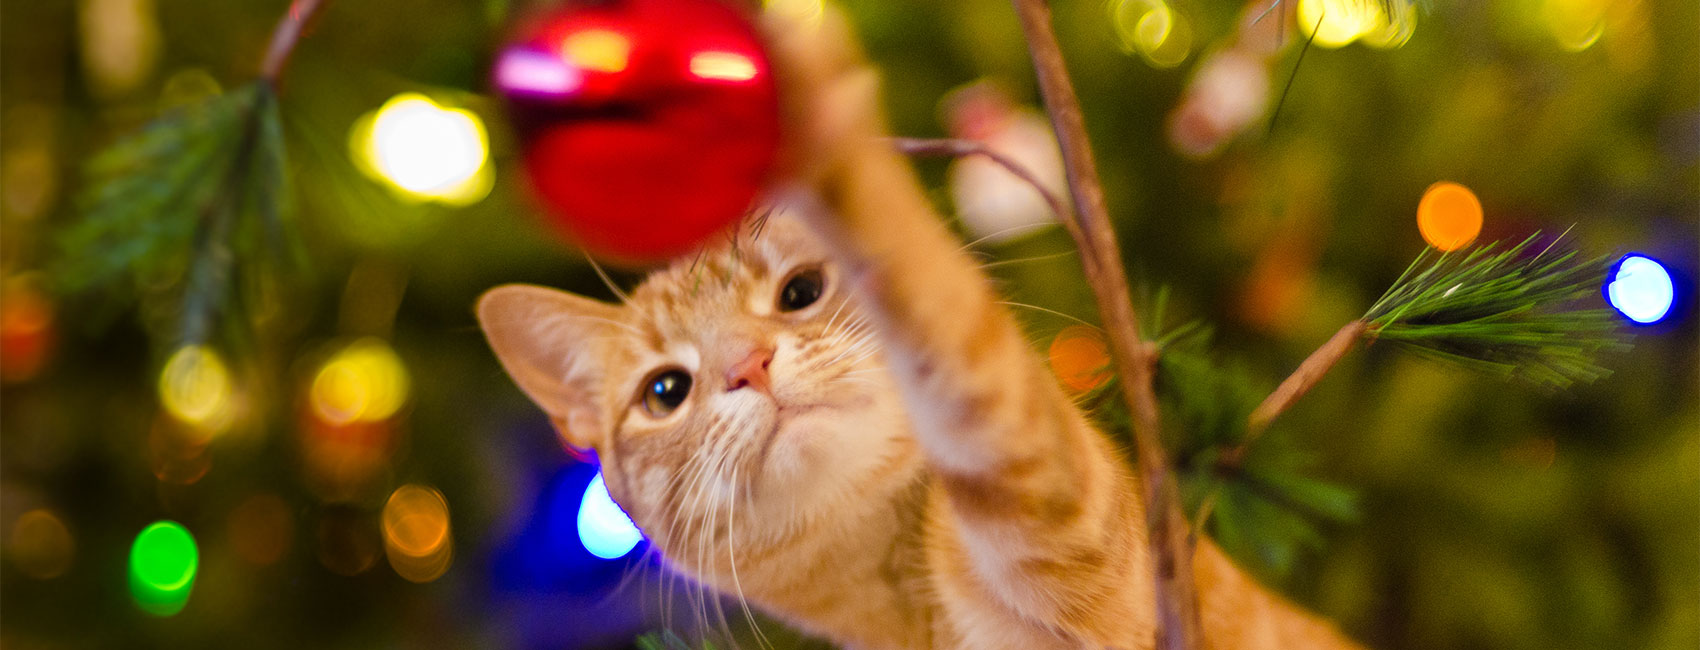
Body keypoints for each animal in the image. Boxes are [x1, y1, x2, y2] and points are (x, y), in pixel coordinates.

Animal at [476, 3, 1353, 646]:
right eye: (666, 391)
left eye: (800, 292)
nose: (747, 365)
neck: (910, 606)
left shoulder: (1076, 514)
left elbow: (943, 317)